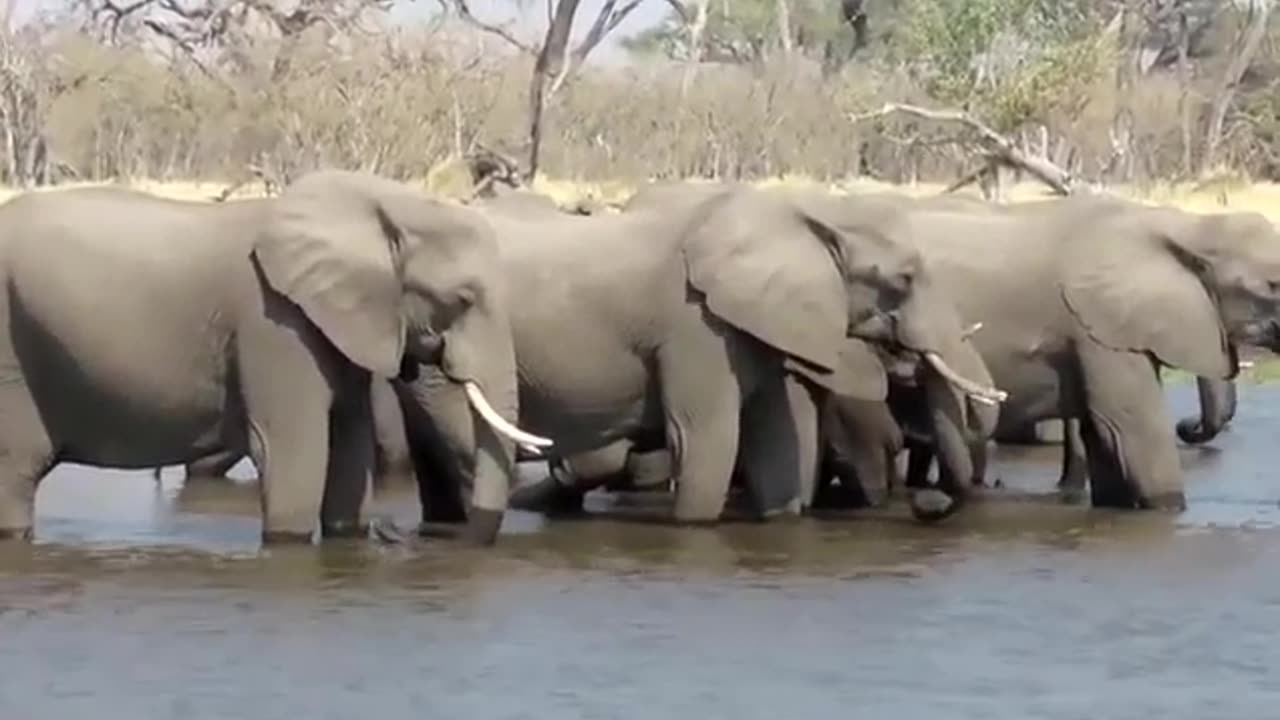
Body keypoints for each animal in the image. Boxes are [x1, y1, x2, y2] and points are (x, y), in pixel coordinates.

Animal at [0, 169, 545, 543]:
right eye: (463, 300)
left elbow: (350, 450)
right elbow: (293, 454)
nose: (403, 533)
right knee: (17, 471)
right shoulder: (274, 324)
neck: (380, 205)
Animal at [412, 181, 1008, 530]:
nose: (928, 504)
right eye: (903, 280)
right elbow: (704, 440)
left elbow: (777, 445)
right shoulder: (696, 327)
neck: (804, 213)